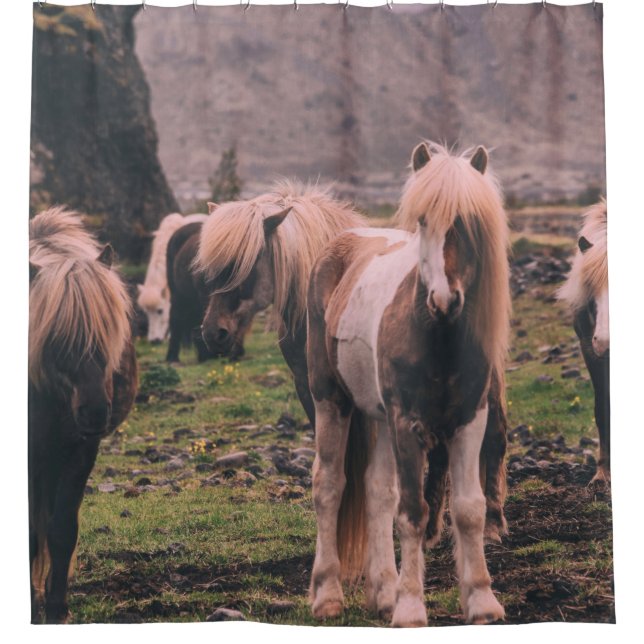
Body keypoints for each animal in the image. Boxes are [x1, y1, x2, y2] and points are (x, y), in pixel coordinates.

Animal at [29, 207, 138, 623]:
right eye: (56, 339)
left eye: (112, 331)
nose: (94, 412)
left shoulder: (79, 451)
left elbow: (61, 532)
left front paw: (57, 609)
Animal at [306, 143, 510, 626]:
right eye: (422, 221)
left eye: (469, 223)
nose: (443, 299)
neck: (437, 336)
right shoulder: (407, 423)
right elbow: (415, 512)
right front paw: (412, 608)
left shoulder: (470, 421)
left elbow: (469, 510)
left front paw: (481, 600)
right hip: (332, 401)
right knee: (329, 484)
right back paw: (327, 595)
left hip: (378, 416)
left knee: (377, 491)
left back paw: (384, 592)